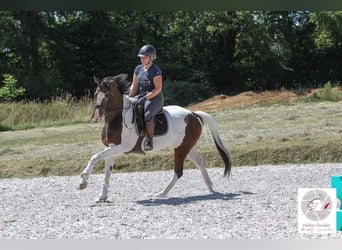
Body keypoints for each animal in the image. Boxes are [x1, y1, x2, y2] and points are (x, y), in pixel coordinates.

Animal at [78, 73, 232, 201]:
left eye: (107, 95)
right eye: (95, 94)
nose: (95, 117)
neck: (118, 118)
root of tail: (193, 114)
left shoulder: (119, 148)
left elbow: (95, 157)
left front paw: (83, 179)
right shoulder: (111, 148)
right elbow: (106, 172)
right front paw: (102, 196)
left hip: (181, 148)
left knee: (178, 171)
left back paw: (161, 193)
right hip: (185, 146)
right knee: (199, 161)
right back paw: (210, 188)